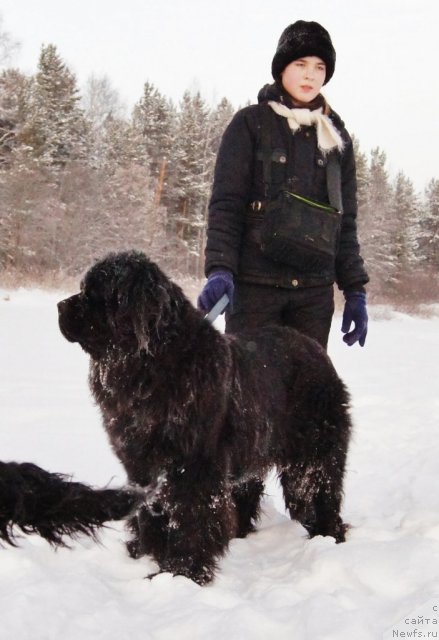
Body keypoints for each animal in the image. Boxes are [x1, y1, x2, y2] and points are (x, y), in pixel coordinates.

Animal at [56, 250, 352, 584]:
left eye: (94, 294)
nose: (60, 306)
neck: (153, 366)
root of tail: (316, 350)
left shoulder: (194, 465)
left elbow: (191, 518)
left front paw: (182, 571)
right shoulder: (142, 465)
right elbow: (150, 512)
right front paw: (146, 552)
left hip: (314, 450)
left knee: (320, 490)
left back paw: (329, 536)